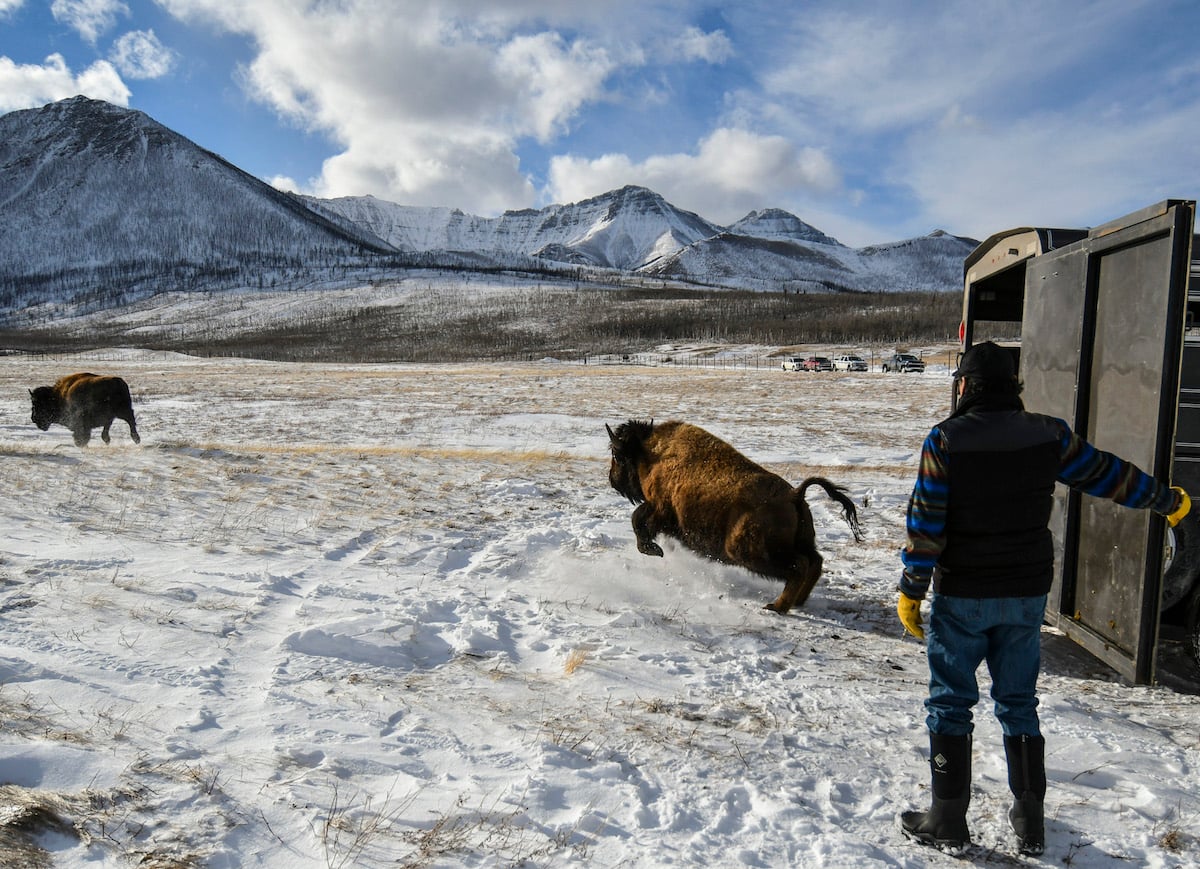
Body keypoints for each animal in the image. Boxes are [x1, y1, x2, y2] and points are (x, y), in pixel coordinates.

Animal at [607, 419, 862, 614]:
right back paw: (797, 602)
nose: (612, 480)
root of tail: (795, 495)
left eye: (618, 457)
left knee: (799, 566)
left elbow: (637, 520)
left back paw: (776, 607)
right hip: (801, 543)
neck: (651, 455)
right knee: (815, 562)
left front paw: (654, 550)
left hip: (748, 552)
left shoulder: (659, 509)